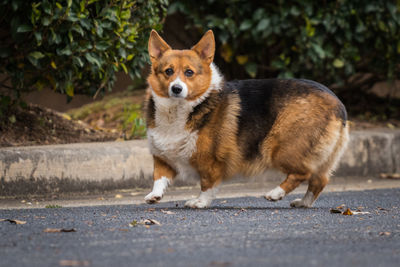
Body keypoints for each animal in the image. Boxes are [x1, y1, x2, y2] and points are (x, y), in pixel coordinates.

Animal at [143, 29, 346, 209]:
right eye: (168, 71)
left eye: (189, 72)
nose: (176, 89)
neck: (178, 110)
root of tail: (338, 104)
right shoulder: (162, 157)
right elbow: (159, 177)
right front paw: (154, 195)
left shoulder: (211, 162)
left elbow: (207, 184)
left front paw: (200, 202)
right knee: (319, 179)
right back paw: (303, 203)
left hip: (278, 148)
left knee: (304, 173)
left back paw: (275, 193)